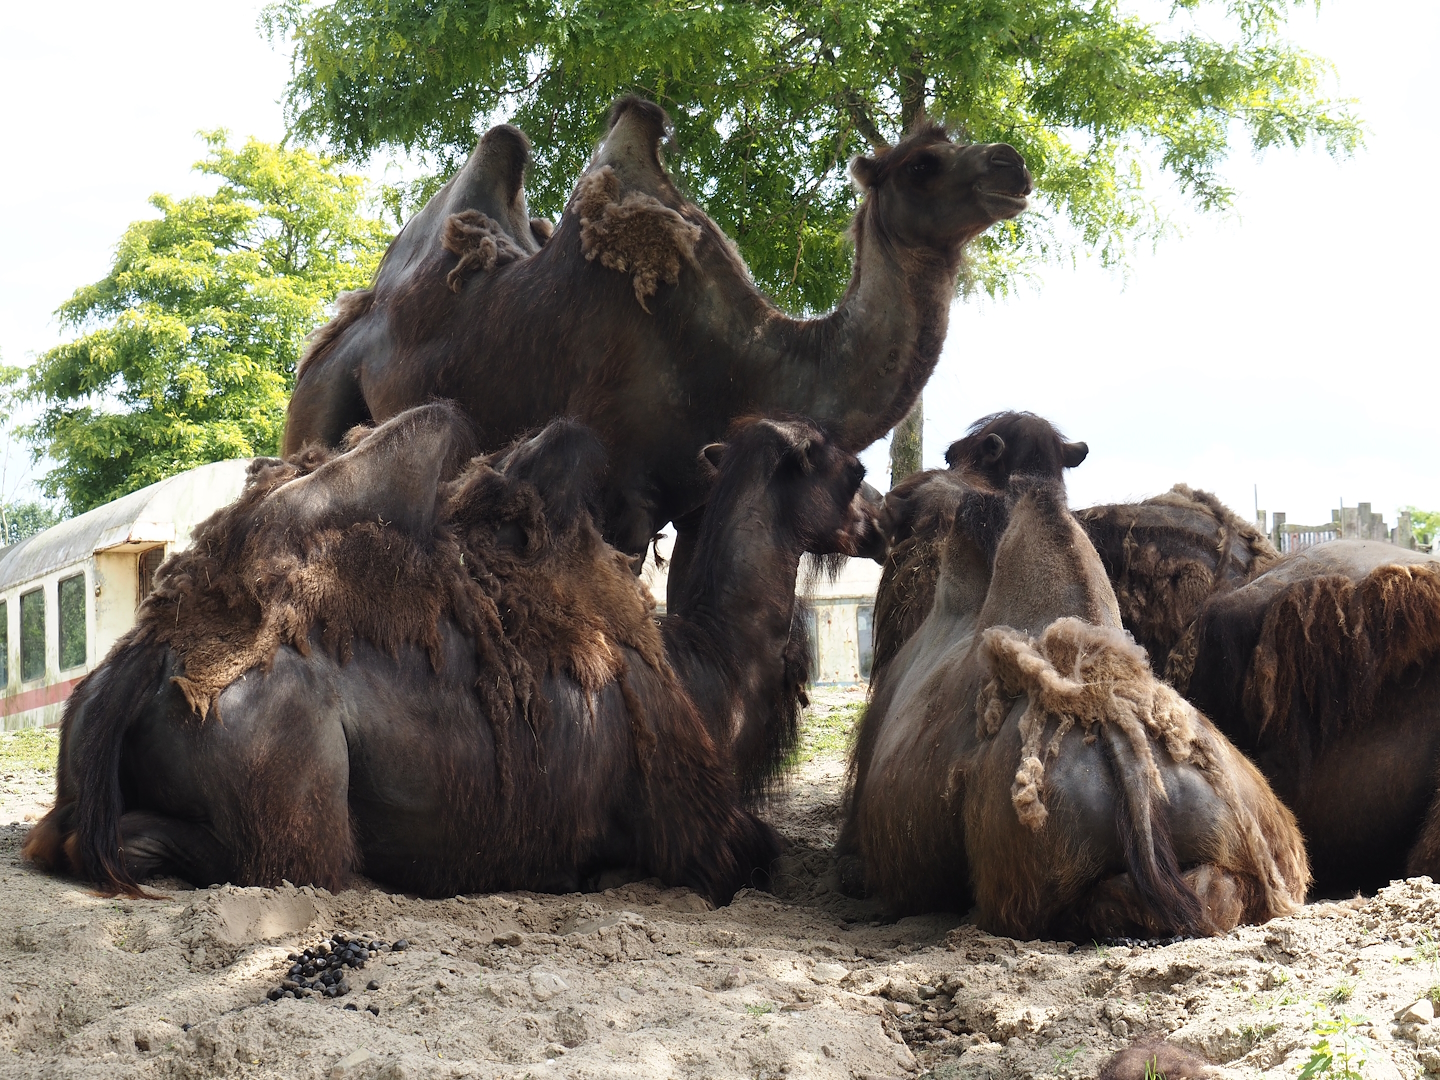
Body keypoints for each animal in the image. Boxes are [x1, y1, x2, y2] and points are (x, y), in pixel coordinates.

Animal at [24, 406, 870, 902]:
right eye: (850, 468)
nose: (882, 515)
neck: (708, 672)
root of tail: (144, 661)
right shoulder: (697, 830)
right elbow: (752, 851)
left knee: (65, 835)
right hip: (288, 791)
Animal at [283, 97, 1032, 583]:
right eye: (922, 164)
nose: (1012, 165)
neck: (744, 363)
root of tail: (347, 316)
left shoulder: (702, 496)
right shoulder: (619, 494)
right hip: (317, 399)